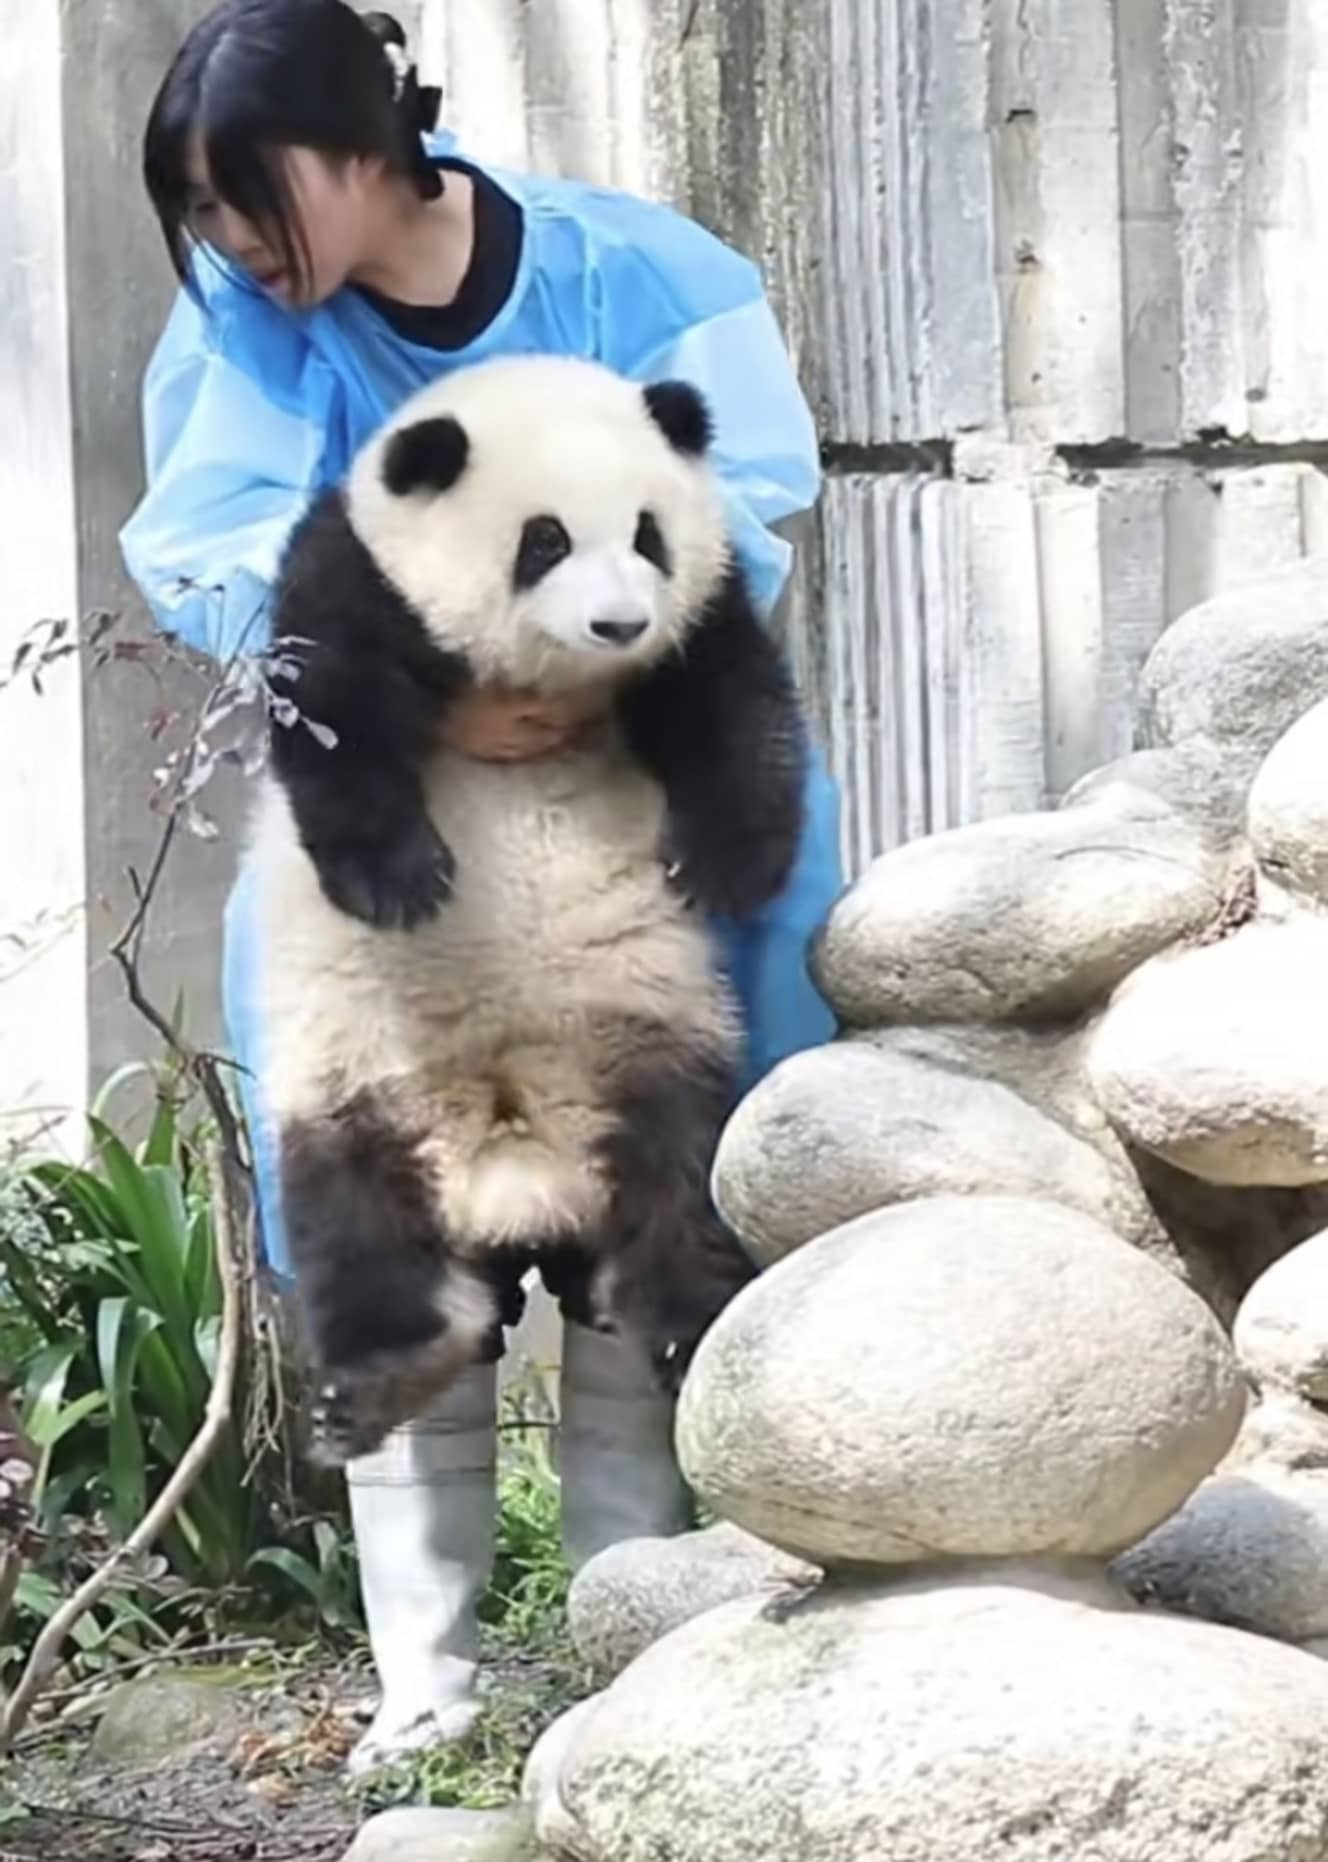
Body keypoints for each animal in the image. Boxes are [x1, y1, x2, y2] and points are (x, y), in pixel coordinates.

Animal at [249, 351, 808, 1467]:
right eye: (541, 541)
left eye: (646, 535)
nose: (619, 622)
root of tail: (515, 1168)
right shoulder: (355, 576)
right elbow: (329, 715)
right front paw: (399, 881)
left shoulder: (696, 613)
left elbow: (732, 701)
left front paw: (727, 867)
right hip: (354, 1072)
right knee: (352, 1220)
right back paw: (374, 1383)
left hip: (651, 1033)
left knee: (682, 1173)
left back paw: (683, 1324)